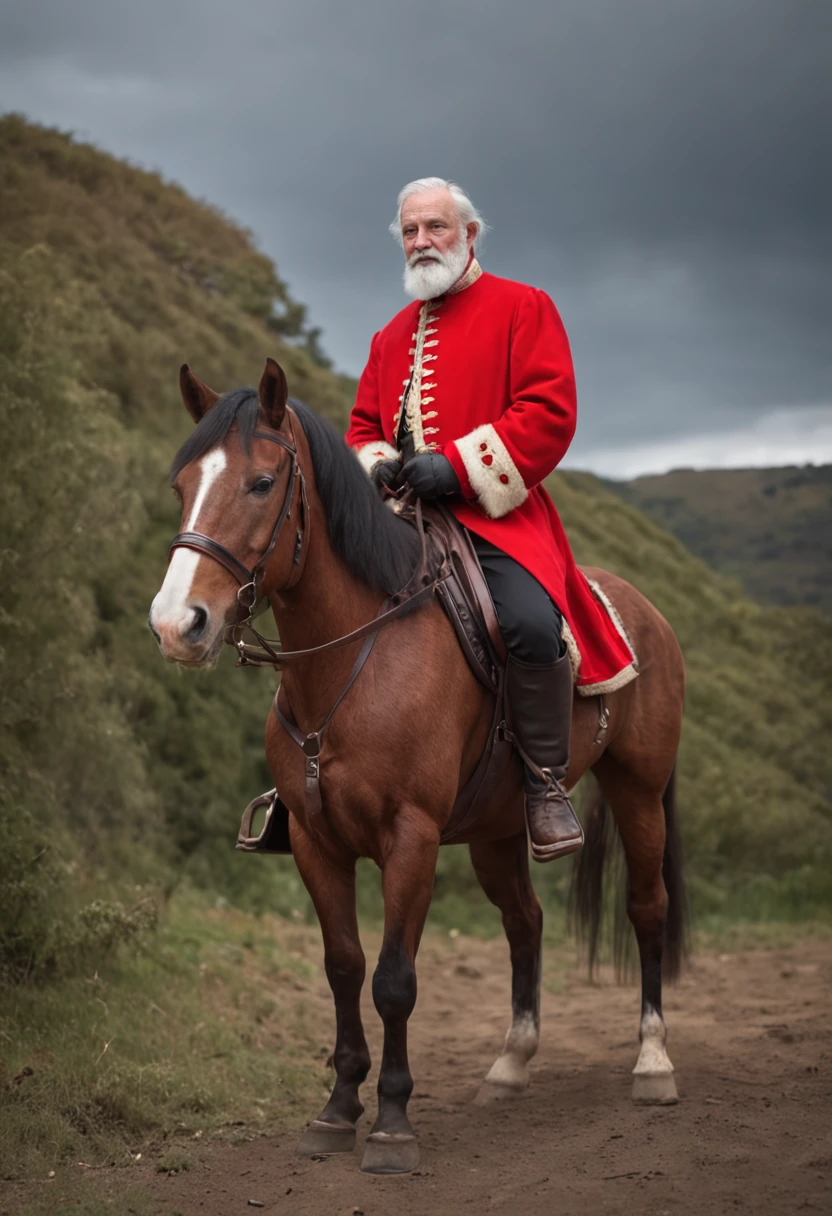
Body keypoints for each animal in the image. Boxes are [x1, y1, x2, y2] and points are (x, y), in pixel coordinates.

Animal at [149, 362, 690, 1177]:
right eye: (184, 484)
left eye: (262, 482)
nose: (176, 624)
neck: (353, 652)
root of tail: (642, 609)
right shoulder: (314, 841)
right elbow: (344, 966)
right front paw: (339, 1107)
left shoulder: (413, 838)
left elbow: (394, 978)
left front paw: (393, 1123)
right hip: (500, 826)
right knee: (524, 922)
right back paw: (511, 1064)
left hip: (640, 791)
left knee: (646, 908)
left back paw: (653, 1061)